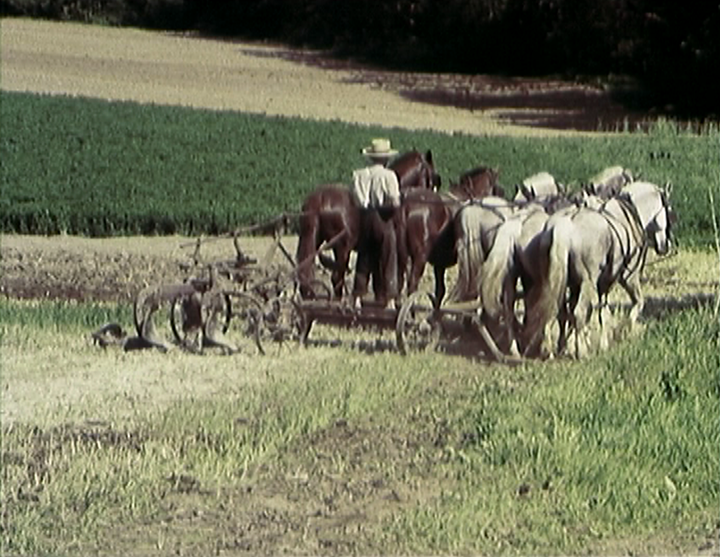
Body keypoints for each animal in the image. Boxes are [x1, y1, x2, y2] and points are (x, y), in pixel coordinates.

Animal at [296, 149, 442, 300]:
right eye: (433, 177)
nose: (430, 197)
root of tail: (321, 200)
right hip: (341, 248)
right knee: (337, 277)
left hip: (314, 240)